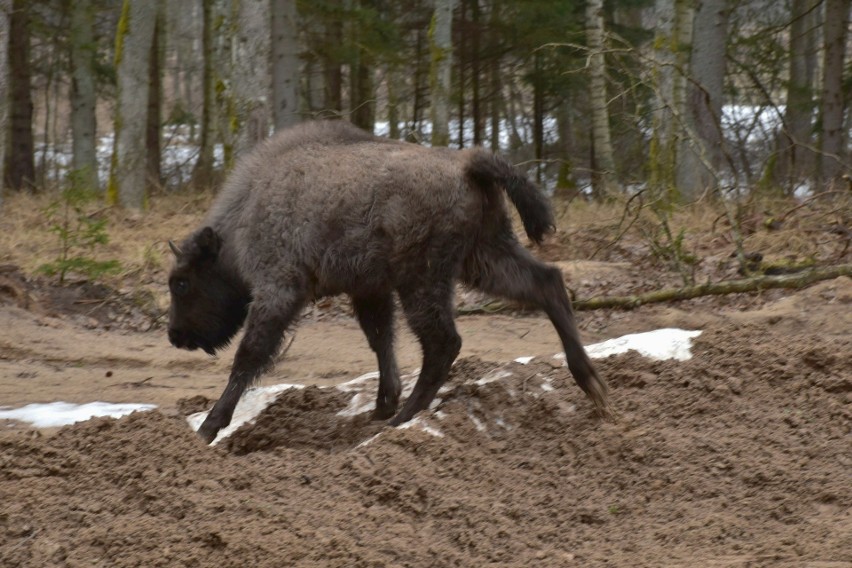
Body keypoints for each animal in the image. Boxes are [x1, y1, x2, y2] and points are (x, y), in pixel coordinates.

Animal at [166, 120, 608, 444]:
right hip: (483, 259)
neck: (248, 212)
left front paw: (208, 427)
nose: (174, 336)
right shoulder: (369, 290)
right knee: (547, 283)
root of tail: (467, 164)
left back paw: (405, 419)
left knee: (444, 342)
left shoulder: (279, 290)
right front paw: (382, 404)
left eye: (182, 283)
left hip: (425, 279)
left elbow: (249, 357)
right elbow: (381, 340)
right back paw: (593, 387)